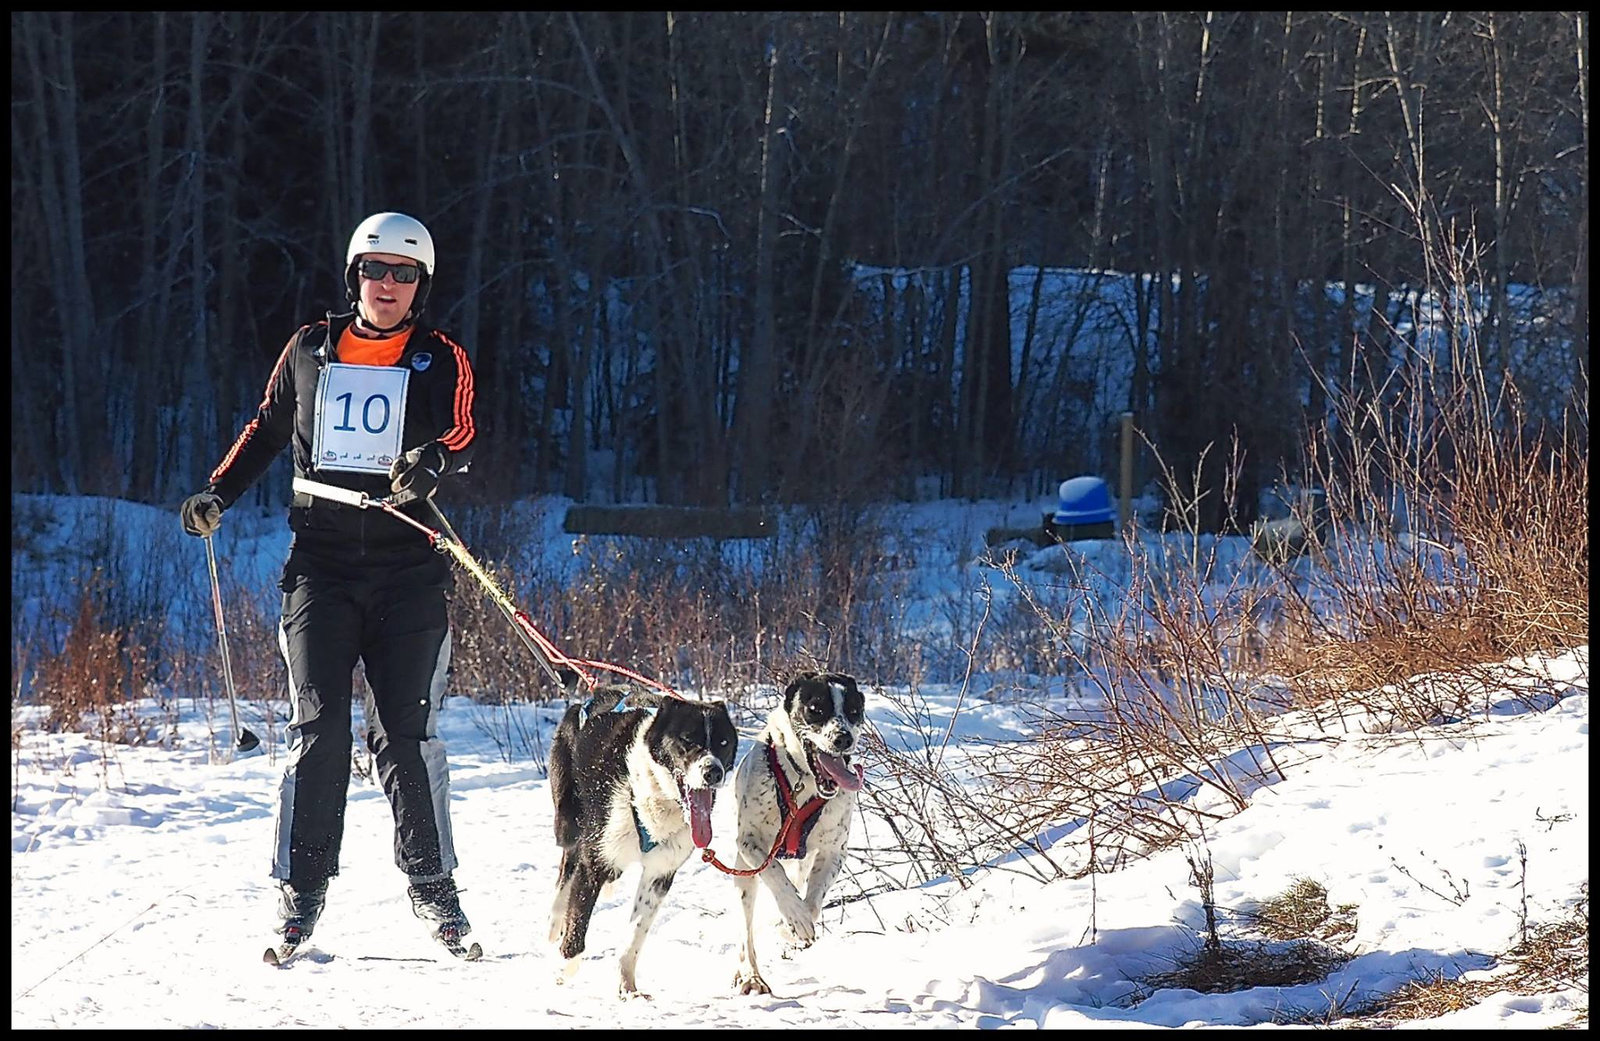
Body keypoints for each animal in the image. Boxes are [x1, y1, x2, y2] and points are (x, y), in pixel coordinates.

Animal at [550, 687, 736, 997]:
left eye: (723, 742)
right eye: (687, 740)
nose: (713, 772)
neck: (656, 794)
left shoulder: (660, 873)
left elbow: (635, 936)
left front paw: (628, 987)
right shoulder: (594, 861)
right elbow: (577, 923)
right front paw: (565, 969)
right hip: (569, 825)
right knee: (567, 865)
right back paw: (555, 919)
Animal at [732, 671, 870, 997]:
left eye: (853, 710)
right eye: (815, 709)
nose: (843, 738)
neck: (803, 785)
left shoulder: (833, 852)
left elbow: (815, 901)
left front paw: (792, 927)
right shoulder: (749, 842)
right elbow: (774, 873)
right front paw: (794, 915)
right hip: (743, 877)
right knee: (746, 931)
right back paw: (751, 976)